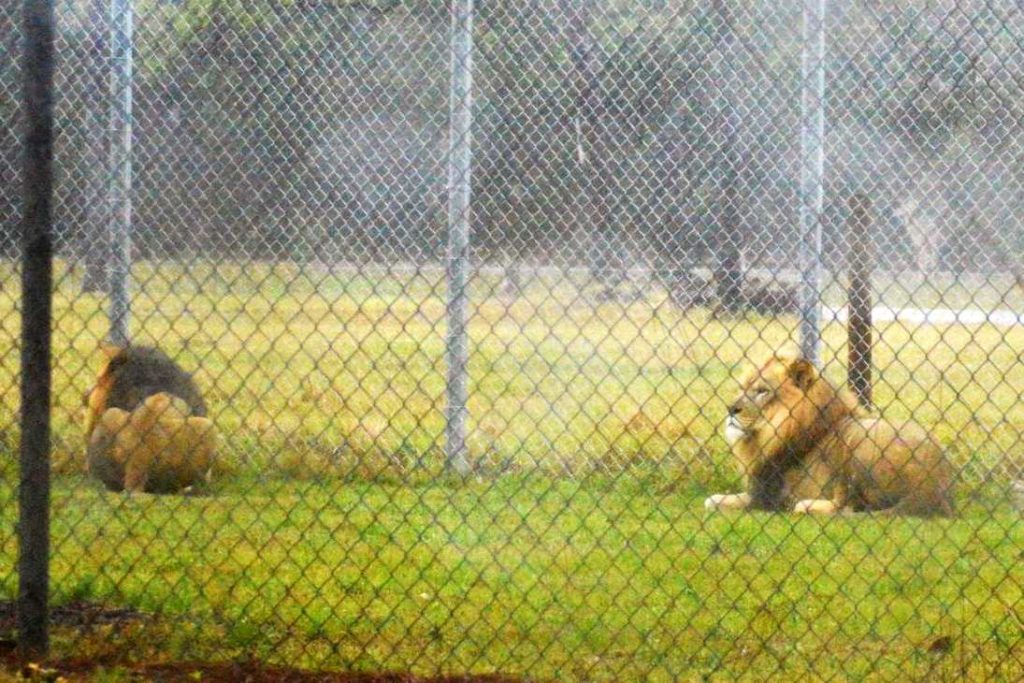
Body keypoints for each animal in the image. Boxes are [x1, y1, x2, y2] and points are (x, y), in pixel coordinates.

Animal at [704, 350, 950, 516]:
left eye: (763, 391)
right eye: (742, 388)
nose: (730, 409)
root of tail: (936, 486)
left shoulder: (769, 496)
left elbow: (721, 501)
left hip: (860, 448)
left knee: (849, 506)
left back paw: (805, 506)